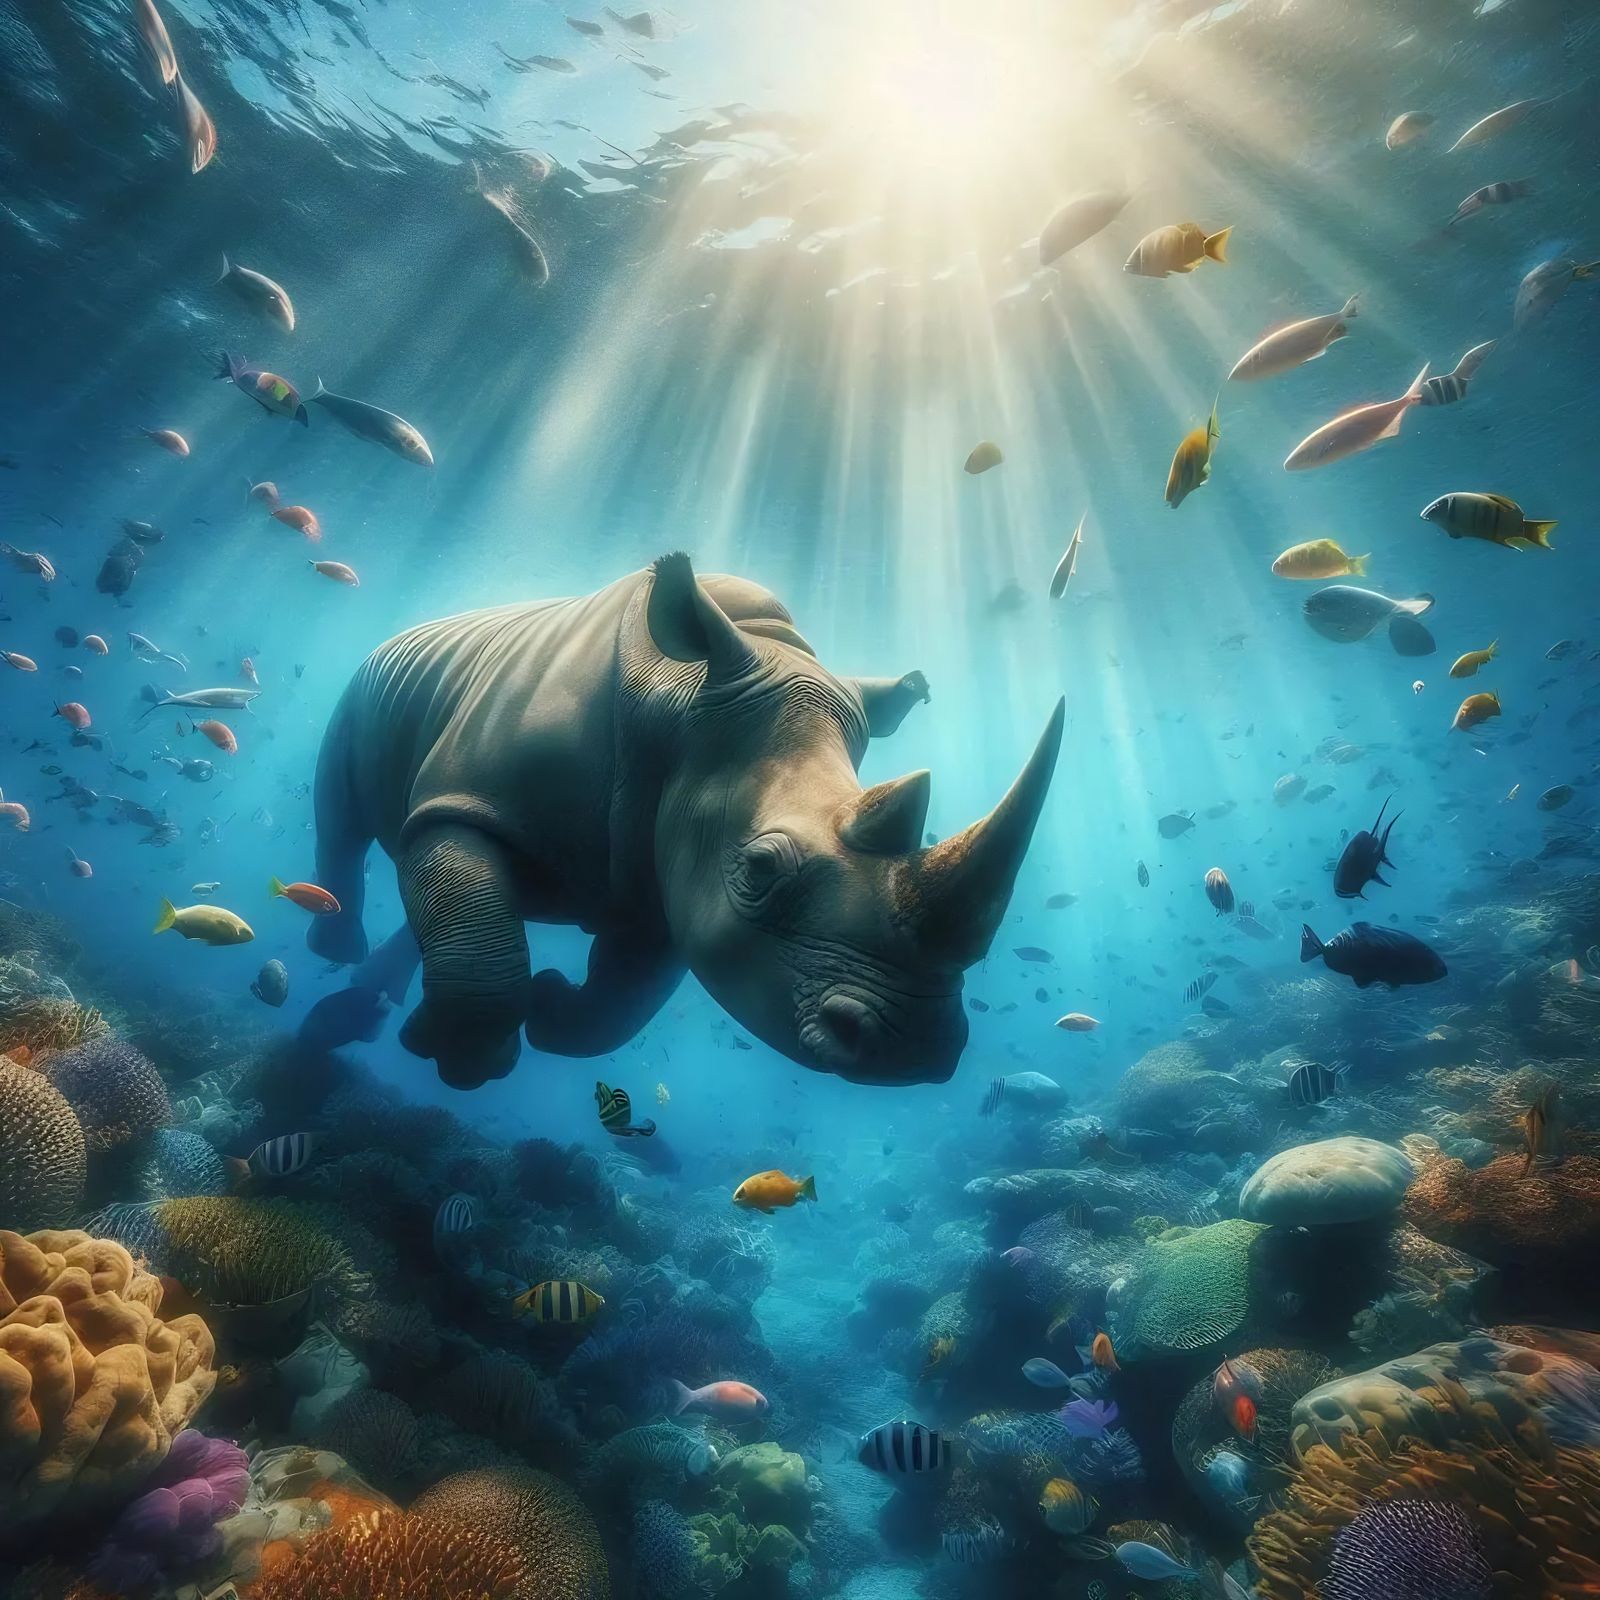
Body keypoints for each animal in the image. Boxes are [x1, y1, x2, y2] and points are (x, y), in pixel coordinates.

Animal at [309, 553, 1063, 1090]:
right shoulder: (467, 801)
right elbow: (478, 937)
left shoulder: (663, 877)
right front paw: (457, 1061)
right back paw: (336, 948)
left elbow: (618, 1008)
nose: (912, 1047)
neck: (679, 698)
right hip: (359, 688)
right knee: (342, 817)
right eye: (759, 867)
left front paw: (549, 1014)